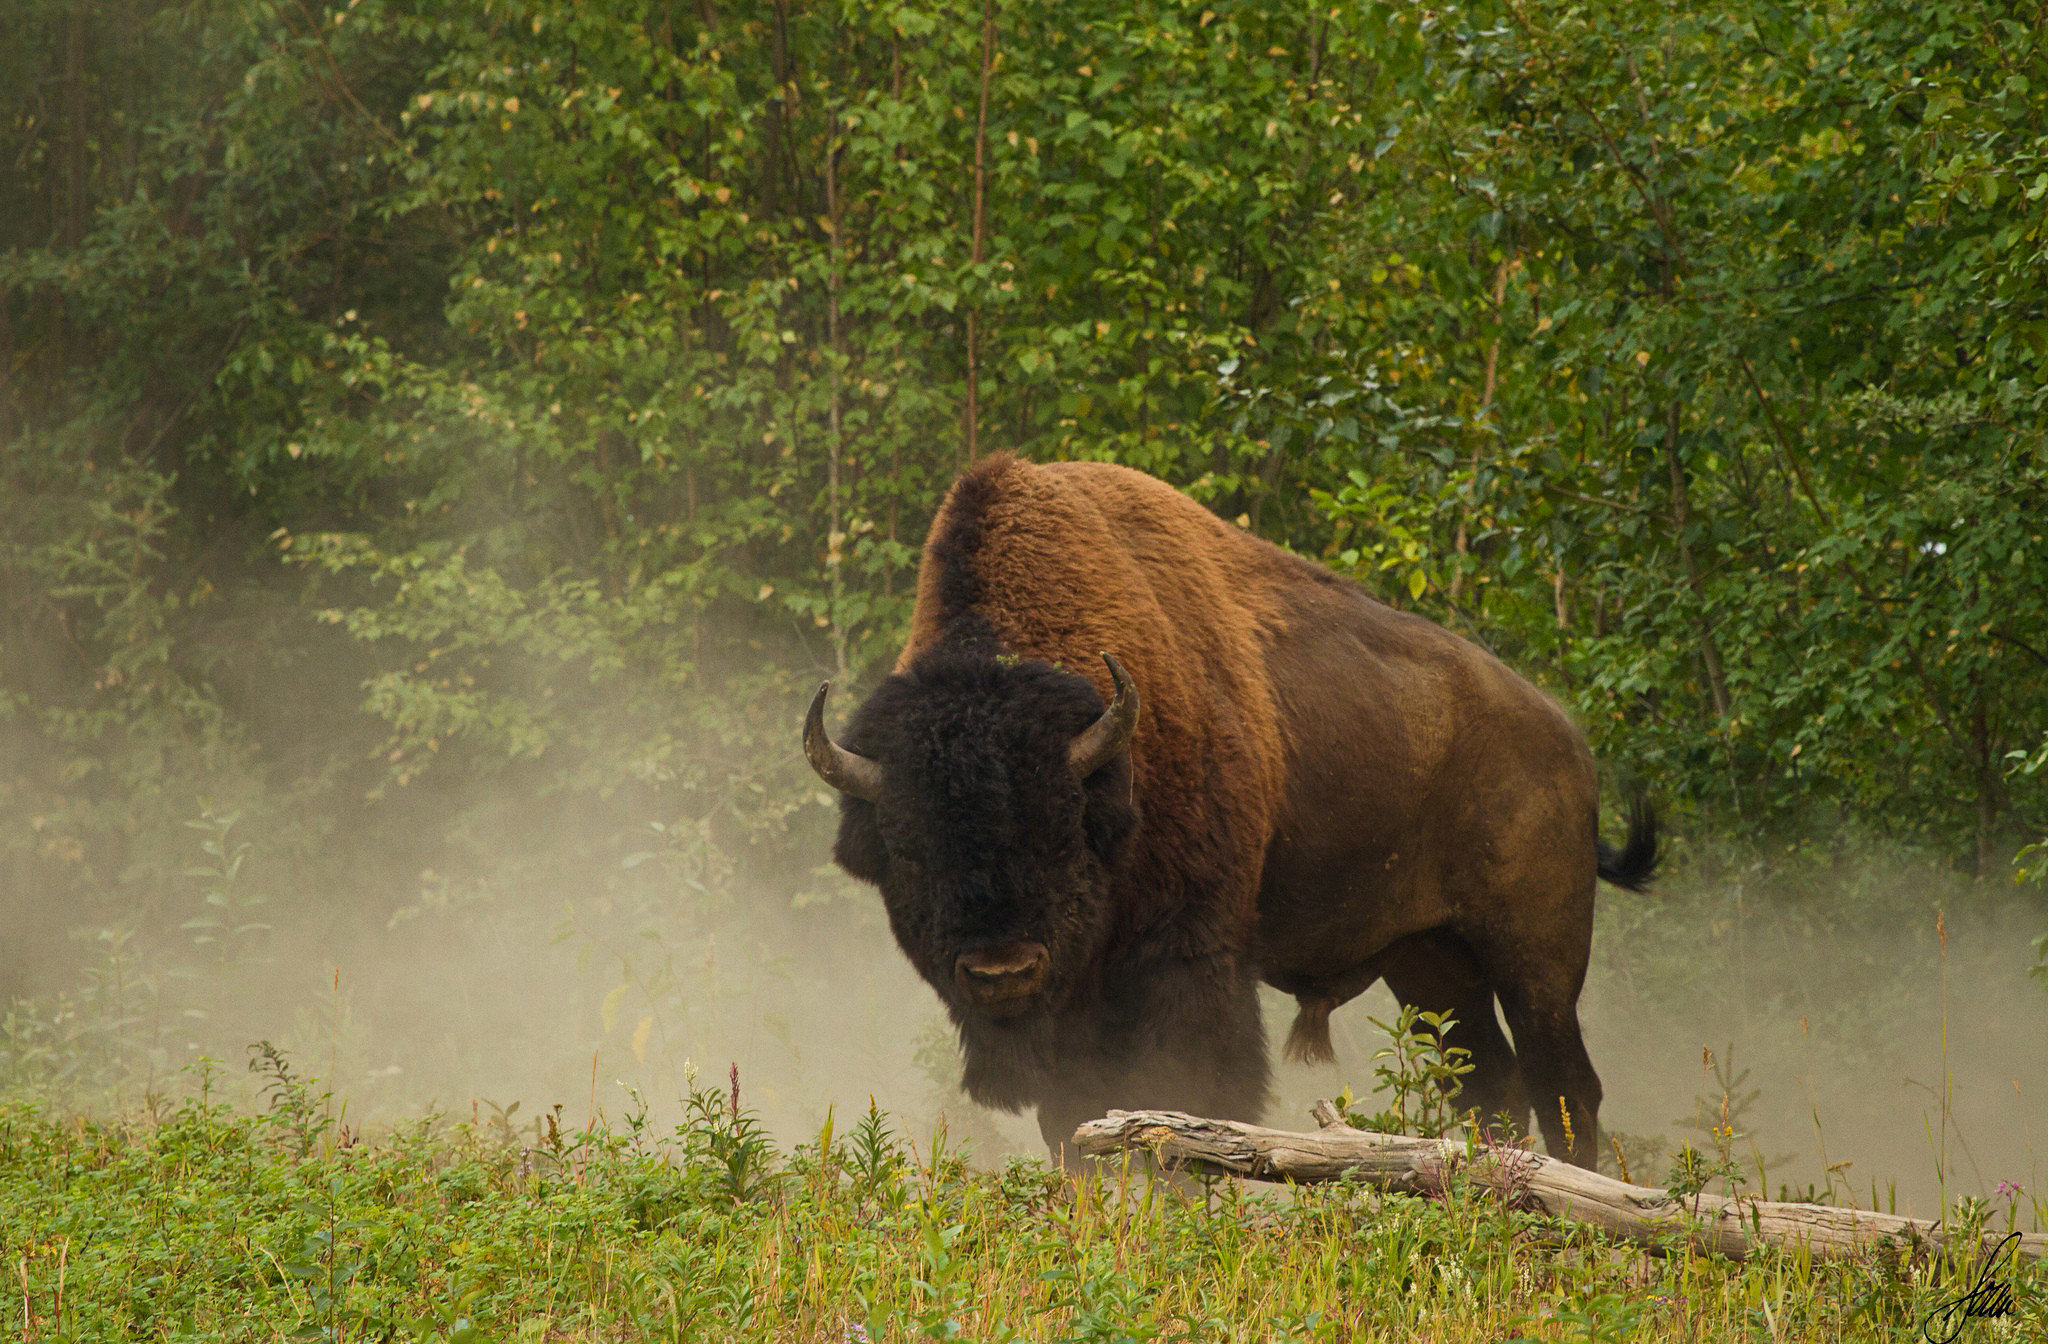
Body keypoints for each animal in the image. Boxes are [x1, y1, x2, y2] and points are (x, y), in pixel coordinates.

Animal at [806, 454, 1654, 1163]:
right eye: (910, 850)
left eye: (1062, 832)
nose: (1001, 970)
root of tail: (1567, 743)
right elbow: (1074, 1119)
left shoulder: (1188, 955)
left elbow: (1186, 1095)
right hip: (1428, 962)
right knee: (1490, 1082)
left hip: (1535, 957)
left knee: (1564, 1083)